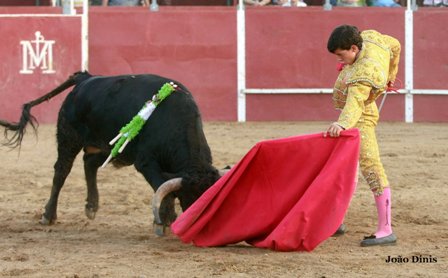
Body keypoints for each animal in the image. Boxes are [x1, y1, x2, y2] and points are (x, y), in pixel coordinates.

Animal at [0, 71, 224, 235]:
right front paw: (165, 220)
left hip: (110, 146)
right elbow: (162, 188)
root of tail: (85, 78)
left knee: (89, 162)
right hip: (68, 137)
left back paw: (91, 206)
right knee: (61, 172)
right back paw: (48, 215)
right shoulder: (145, 163)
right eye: (192, 197)